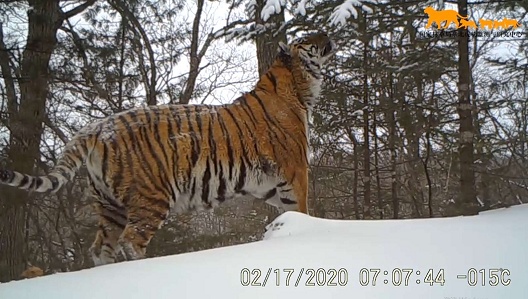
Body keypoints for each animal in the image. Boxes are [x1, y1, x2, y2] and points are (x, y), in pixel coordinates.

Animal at [0, 32, 336, 268]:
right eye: (307, 39)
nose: (325, 33)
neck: (297, 88)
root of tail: (95, 127)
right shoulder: (295, 175)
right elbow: (303, 210)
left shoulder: (268, 186)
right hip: (151, 197)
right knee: (131, 241)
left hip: (110, 205)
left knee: (101, 248)